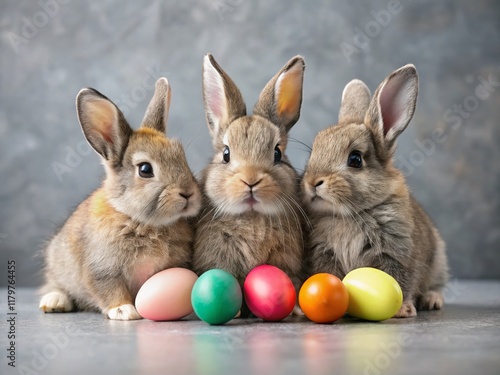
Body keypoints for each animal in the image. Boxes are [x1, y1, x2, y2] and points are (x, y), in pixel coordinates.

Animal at [38, 78, 201, 322]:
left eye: (183, 158)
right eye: (145, 169)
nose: (188, 193)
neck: (140, 220)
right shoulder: (102, 269)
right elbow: (110, 289)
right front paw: (125, 311)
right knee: (55, 284)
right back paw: (54, 302)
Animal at [300, 64, 450, 318]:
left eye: (355, 159)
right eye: (313, 152)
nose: (312, 182)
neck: (350, 214)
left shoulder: (397, 253)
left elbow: (401, 279)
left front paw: (403, 310)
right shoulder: (323, 254)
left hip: (438, 261)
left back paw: (432, 300)